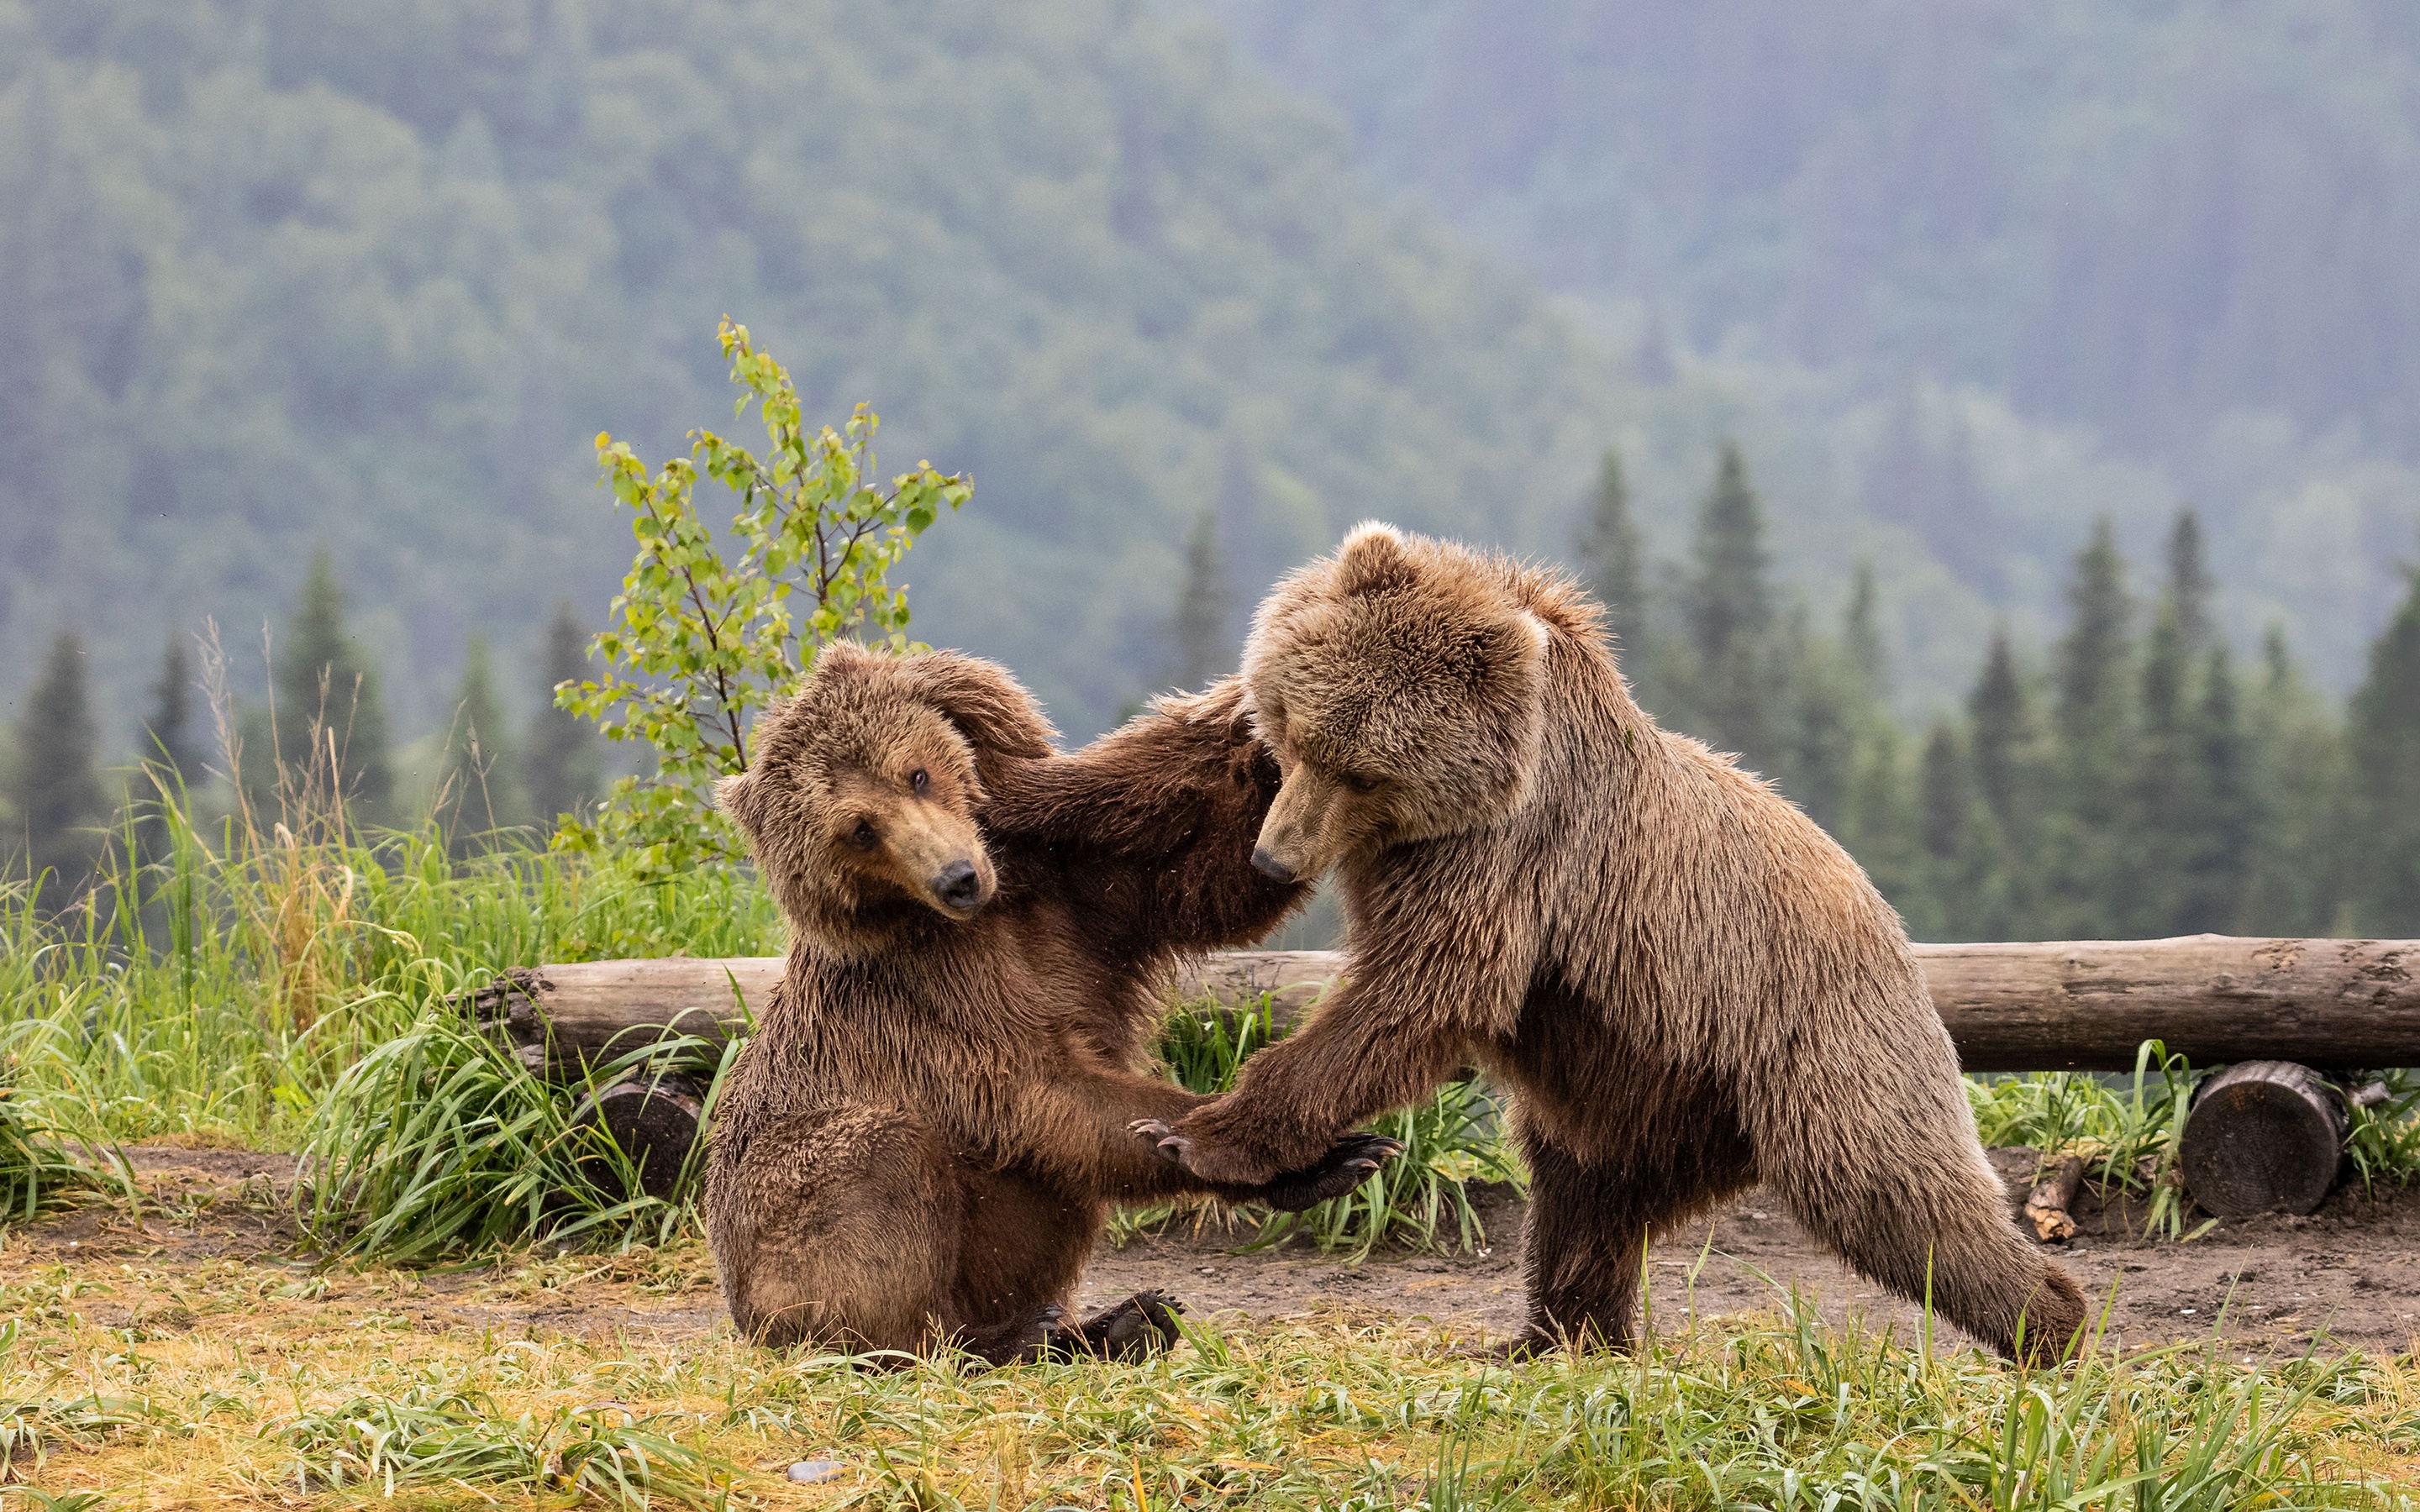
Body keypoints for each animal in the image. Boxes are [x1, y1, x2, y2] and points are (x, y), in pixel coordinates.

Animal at [702, 643, 1403, 1364]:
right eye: (860, 830)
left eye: (917, 774)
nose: (957, 879)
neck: (993, 910)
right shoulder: (934, 997)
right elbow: (1050, 1095)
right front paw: (1318, 1156)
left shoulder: (1074, 895)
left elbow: (1211, 885)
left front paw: (1272, 732)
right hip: (776, 1219)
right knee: (881, 1175)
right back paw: (1009, 1336)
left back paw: (1122, 1321)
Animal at [1142, 524, 2091, 1364]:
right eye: (1298, 731)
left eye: (1366, 773)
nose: (1274, 856)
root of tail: (1891, 929)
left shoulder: (1505, 856)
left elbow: (1418, 991)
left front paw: (1199, 1133)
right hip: (1635, 1081)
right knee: (1582, 1199)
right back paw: (1555, 1335)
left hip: (1806, 1041)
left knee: (1888, 1190)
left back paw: (2052, 1328)